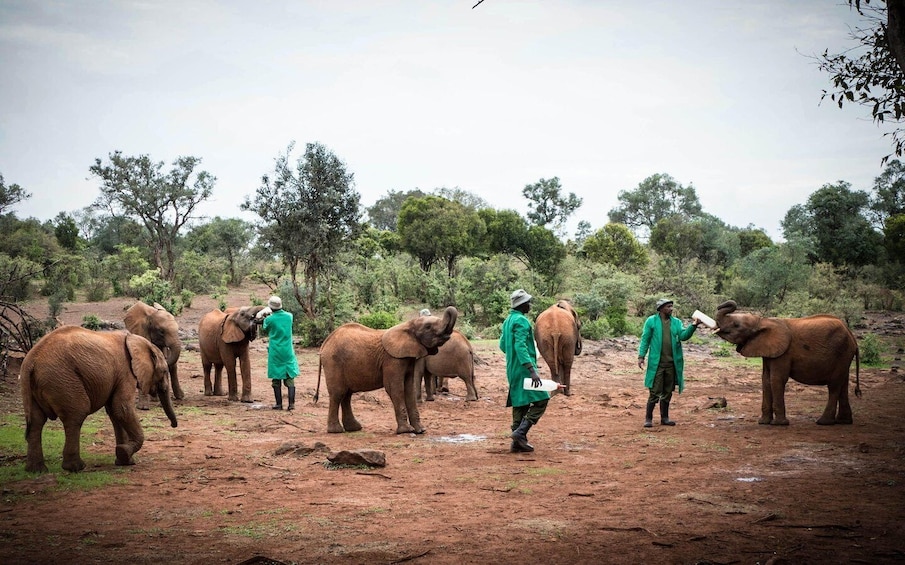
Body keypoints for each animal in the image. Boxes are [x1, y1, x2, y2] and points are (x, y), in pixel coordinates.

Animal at [18, 324, 177, 474]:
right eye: (164, 371)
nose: (173, 425)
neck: (138, 341)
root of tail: (31, 361)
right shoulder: (126, 372)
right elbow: (122, 409)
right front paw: (123, 453)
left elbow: (114, 412)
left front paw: (124, 461)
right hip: (61, 379)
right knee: (76, 416)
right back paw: (76, 467)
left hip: (35, 385)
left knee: (36, 422)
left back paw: (36, 470)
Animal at [316, 306, 460, 434]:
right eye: (428, 327)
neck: (407, 325)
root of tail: (325, 343)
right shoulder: (392, 359)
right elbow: (395, 388)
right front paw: (406, 431)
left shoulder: (408, 359)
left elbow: (409, 389)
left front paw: (420, 430)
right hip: (333, 362)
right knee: (338, 393)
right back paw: (336, 431)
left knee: (347, 394)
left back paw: (354, 428)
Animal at [712, 300, 860, 424]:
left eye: (736, 325)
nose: (722, 304)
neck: (761, 321)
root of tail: (852, 336)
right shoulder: (769, 352)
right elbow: (766, 379)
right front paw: (763, 422)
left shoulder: (784, 353)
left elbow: (776, 379)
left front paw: (779, 424)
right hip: (844, 356)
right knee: (843, 383)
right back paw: (844, 421)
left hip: (842, 352)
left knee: (834, 385)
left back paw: (823, 422)